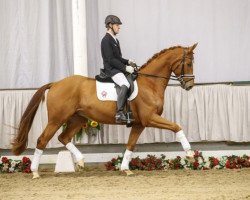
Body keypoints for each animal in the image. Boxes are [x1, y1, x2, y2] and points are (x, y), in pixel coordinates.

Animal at [13, 43, 197, 177]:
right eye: (188, 64)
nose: (189, 86)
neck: (150, 83)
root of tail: (56, 83)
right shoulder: (149, 118)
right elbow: (177, 127)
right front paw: (189, 153)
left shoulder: (139, 124)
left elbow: (130, 145)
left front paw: (125, 168)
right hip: (57, 119)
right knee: (42, 140)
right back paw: (35, 172)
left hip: (78, 118)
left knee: (63, 137)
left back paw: (80, 161)